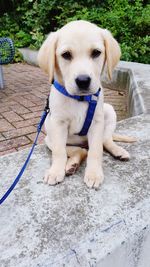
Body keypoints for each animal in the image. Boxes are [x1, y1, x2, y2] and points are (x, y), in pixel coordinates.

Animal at [37, 20, 131, 188]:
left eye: (96, 53)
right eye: (66, 55)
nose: (83, 81)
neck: (79, 99)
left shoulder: (96, 122)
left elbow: (96, 151)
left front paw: (93, 174)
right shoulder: (58, 124)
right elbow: (59, 152)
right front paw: (55, 171)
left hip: (109, 111)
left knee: (104, 141)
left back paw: (118, 151)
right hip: (49, 139)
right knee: (79, 151)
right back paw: (71, 165)